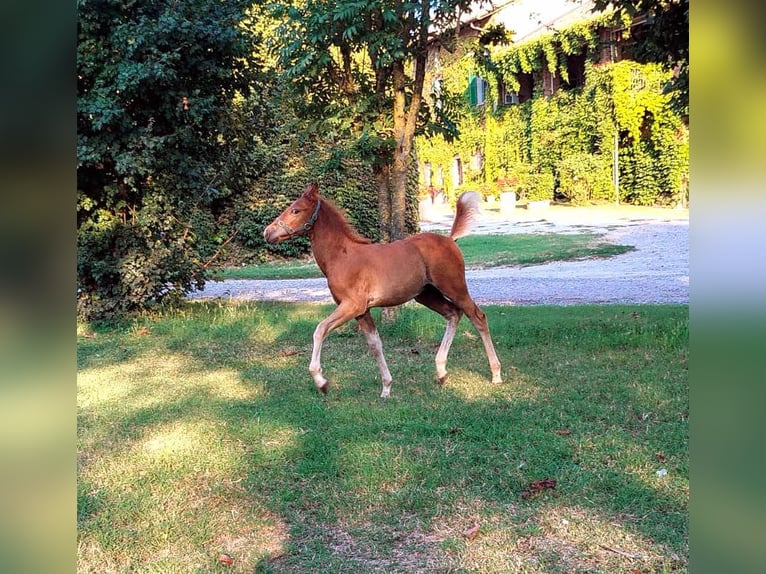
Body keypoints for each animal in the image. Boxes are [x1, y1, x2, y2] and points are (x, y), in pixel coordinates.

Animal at [264, 184, 504, 400]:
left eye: (296, 210)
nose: (267, 232)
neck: (342, 256)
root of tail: (449, 239)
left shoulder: (352, 305)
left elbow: (320, 329)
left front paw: (321, 382)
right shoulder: (362, 311)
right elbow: (375, 344)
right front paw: (387, 388)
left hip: (455, 287)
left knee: (477, 316)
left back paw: (496, 374)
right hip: (426, 295)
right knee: (453, 314)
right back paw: (441, 371)